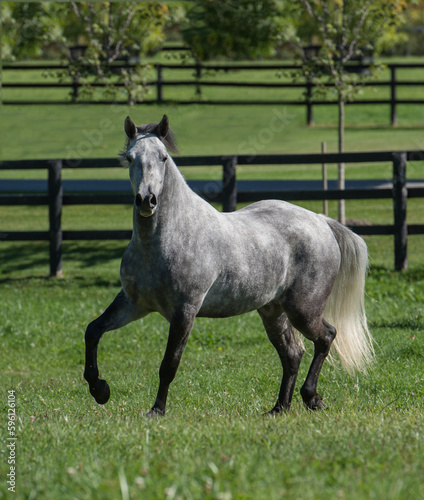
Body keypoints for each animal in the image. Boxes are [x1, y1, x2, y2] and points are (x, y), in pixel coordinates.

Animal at [83, 115, 374, 416]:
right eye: (130, 158)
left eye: (163, 157)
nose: (146, 200)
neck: (165, 239)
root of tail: (321, 221)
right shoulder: (135, 303)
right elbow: (93, 331)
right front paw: (100, 389)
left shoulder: (184, 311)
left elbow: (169, 365)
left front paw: (157, 411)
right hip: (273, 311)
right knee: (293, 354)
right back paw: (279, 408)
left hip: (303, 310)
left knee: (326, 337)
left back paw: (311, 397)